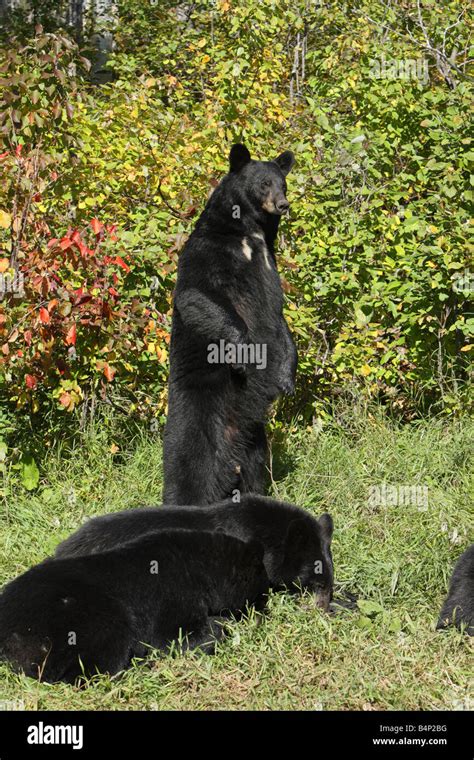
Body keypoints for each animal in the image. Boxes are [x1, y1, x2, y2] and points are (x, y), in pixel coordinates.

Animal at [163, 145, 296, 508]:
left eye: (283, 183)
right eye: (264, 183)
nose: (283, 204)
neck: (249, 234)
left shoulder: (270, 266)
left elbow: (279, 318)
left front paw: (286, 376)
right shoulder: (207, 252)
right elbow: (198, 296)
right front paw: (244, 355)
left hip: (254, 434)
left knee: (255, 464)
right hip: (199, 408)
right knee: (188, 458)